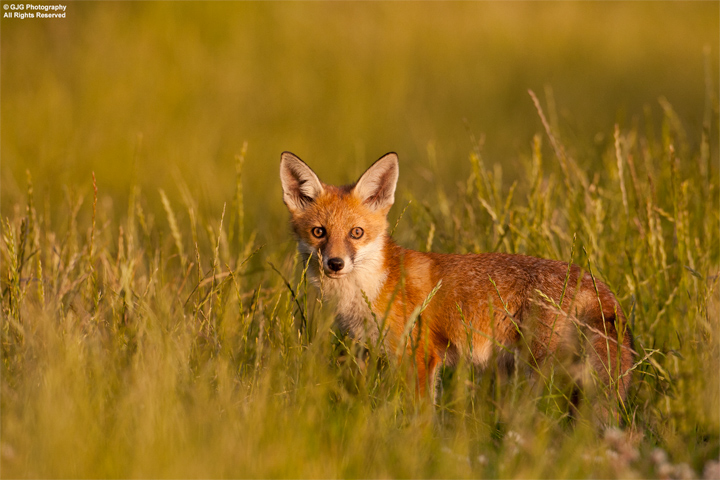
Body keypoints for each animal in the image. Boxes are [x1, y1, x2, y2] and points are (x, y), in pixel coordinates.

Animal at [280, 151, 633, 410]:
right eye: (319, 232)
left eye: (356, 233)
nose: (335, 263)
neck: (371, 288)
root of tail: (595, 283)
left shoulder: (420, 355)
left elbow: (421, 416)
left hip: (547, 371)